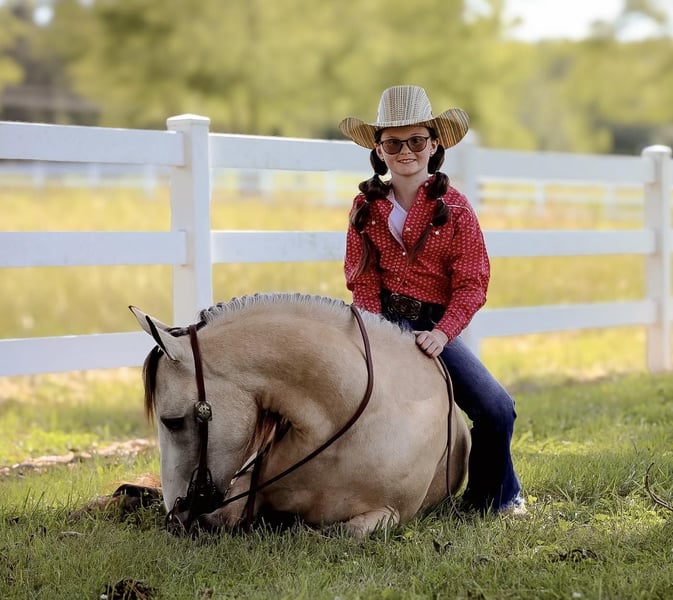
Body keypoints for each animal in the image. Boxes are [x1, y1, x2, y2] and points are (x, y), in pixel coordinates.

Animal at [130, 293, 470, 537]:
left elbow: (345, 533)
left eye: (172, 422)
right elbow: (221, 518)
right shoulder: (245, 488)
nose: (175, 514)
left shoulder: (391, 512)